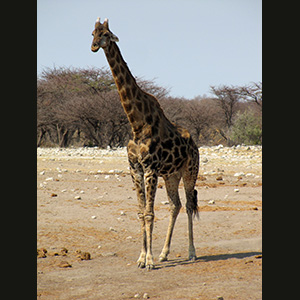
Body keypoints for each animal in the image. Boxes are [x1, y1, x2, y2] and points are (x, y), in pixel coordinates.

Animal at [91, 17, 199, 270]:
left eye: (106, 34)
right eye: (92, 33)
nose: (93, 46)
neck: (136, 123)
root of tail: (195, 144)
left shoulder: (150, 168)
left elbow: (149, 213)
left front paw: (148, 261)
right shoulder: (135, 168)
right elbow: (141, 212)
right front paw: (142, 258)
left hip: (190, 170)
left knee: (189, 204)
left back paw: (191, 253)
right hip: (171, 174)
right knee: (175, 205)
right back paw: (164, 253)